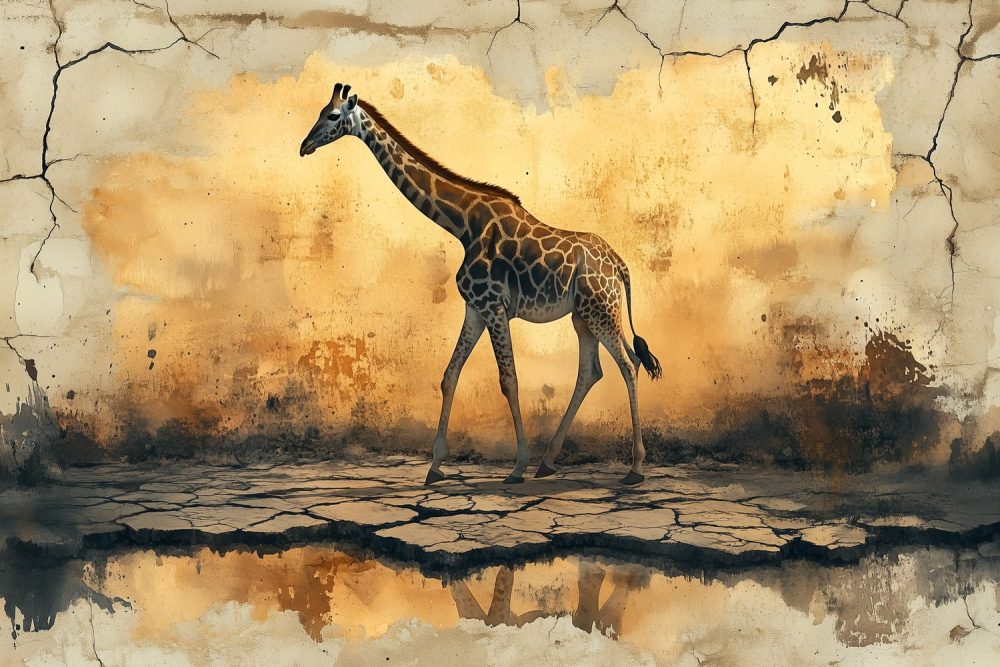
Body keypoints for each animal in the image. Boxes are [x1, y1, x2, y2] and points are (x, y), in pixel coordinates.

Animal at [300, 83, 662, 486]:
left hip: (601, 311)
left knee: (628, 365)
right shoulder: (474, 307)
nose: (304, 146)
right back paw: (548, 462)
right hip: (583, 316)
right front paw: (435, 467)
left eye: (332, 116)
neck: (462, 225)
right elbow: (449, 375)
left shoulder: (493, 305)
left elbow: (509, 380)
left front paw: (516, 468)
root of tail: (620, 265)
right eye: (320, 111)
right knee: (592, 371)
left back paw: (634, 469)